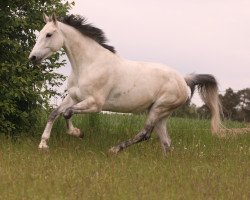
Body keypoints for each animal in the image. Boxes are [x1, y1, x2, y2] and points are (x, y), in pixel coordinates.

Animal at [28, 13, 222, 155]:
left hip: (159, 108)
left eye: (49, 34)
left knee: (145, 133)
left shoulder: (95, 104)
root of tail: (183, 79)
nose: (33, 58)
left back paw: (115, 149)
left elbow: (67, 113)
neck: (89, 64)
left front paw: (77, 133)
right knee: (166, 142)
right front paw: (43, 144)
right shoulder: (73, 97)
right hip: (162, 113)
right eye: (39, 34)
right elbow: (54, 113)